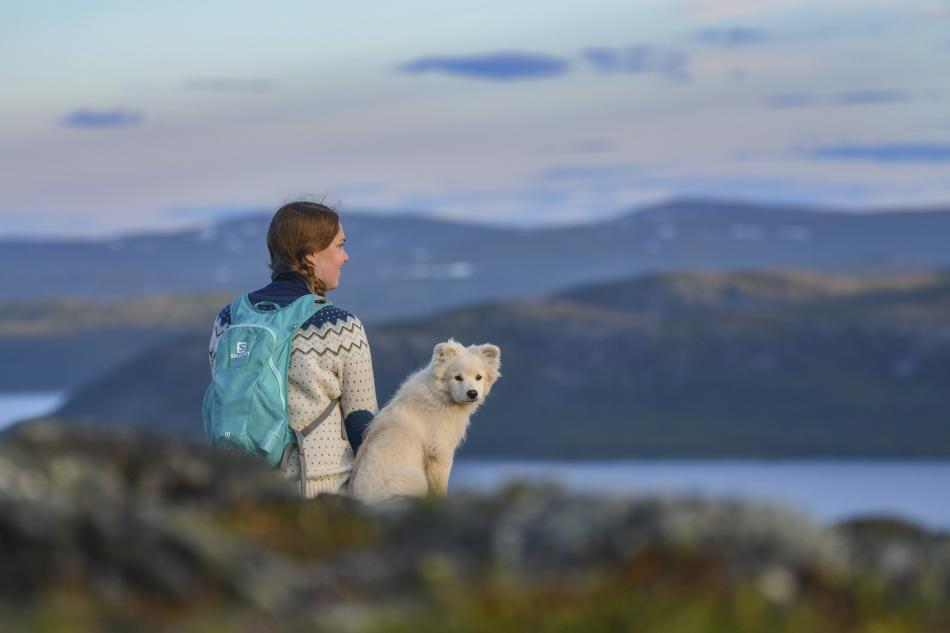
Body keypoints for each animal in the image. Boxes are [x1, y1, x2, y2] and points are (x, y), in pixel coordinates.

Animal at [346, 338, 502, 502]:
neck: (440, 397)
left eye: (479, 377)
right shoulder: (439, 450)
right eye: (458, 377)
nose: (472, 393)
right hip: (413, 480)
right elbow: (440, 482)